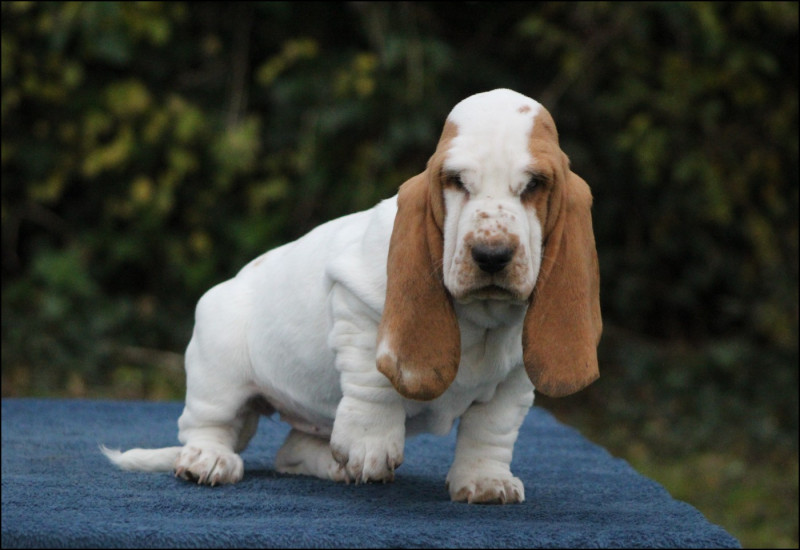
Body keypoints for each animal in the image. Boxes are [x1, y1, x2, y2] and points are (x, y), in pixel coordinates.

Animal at [102, 88, 602, 504]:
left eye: (535, 184)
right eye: (457, 181)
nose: (492, 255)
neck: (481, 318)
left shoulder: (516, 378)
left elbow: (492, 430)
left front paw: (485, 481)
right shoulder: (357, 305)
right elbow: (374, 377)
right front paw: (370, 445)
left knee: (292, 451)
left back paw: (332, 466)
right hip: (219, 372)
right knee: (207, 427)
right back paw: (209, 460)